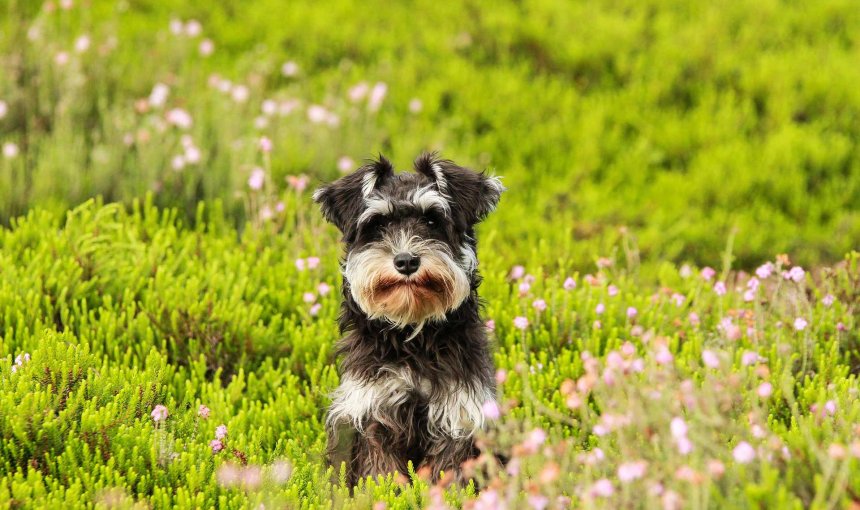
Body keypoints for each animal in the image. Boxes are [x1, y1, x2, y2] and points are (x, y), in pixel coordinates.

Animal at [314, 151, 504, 486]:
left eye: (432, 220)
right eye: (377, 224)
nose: (406, 261)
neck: (413, 334)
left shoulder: (458, 416)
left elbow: (447, 472)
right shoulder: (373, 414)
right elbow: (381, 474)